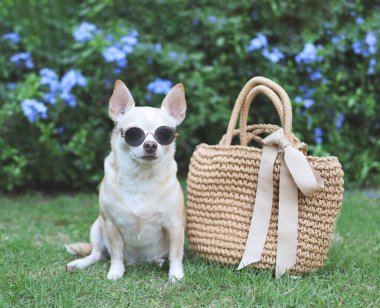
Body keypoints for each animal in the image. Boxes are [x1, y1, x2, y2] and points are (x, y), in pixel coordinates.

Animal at [67, 79, 189, 282]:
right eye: (134, 134)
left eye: (165, 134)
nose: (150, 144)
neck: (141, 178)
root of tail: (138, 262)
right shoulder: (111, 224)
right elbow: (116, 253)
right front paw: (116, 272)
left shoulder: (175, 226)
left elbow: (176, 253)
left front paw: (176, 275)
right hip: (97, 227)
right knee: (97, 253)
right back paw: (81, 263)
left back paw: (159, 261)